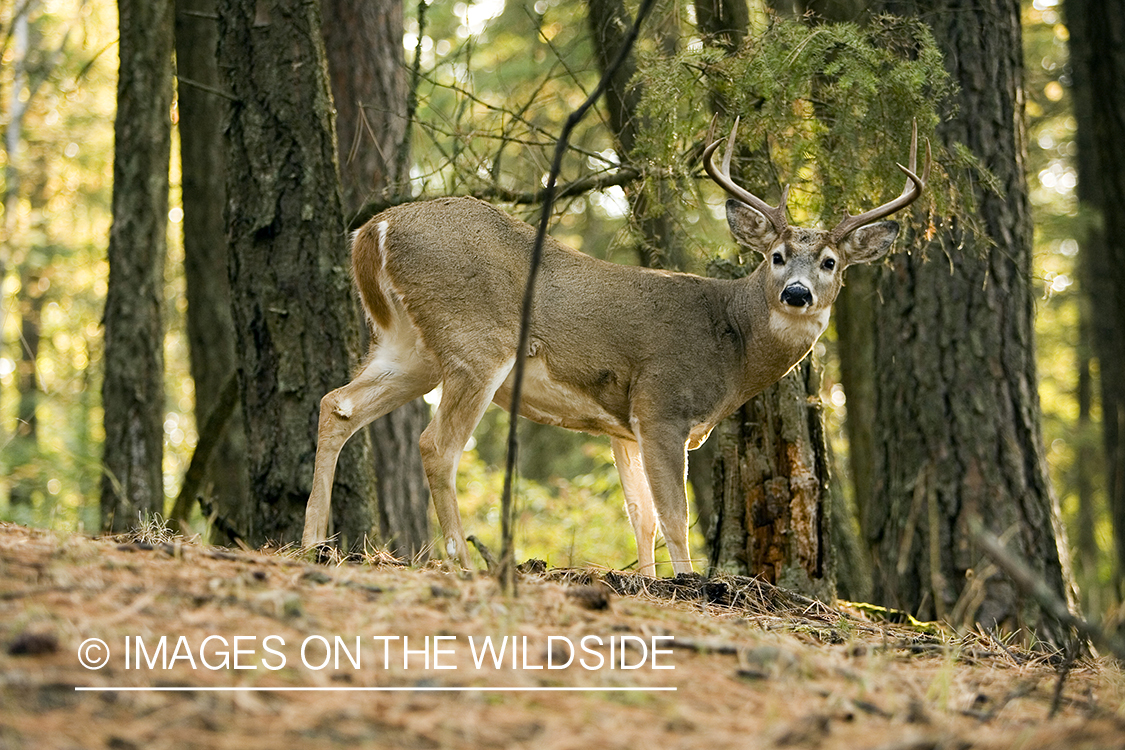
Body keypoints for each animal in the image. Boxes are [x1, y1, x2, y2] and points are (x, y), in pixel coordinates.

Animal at [303, 118, 927, 575]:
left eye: (830, 262)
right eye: (775, 256)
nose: (797, 293)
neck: (732, 343)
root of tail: (374, 231)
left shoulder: (623, 426)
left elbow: (640, 517)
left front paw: (649, 582)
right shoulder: (662, 406)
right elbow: (673, 515)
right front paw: (689, 583)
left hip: (410, 347)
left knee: (337, 404)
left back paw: (313, 543)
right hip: (475, 341)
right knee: (437, 445)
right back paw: (461, 560)